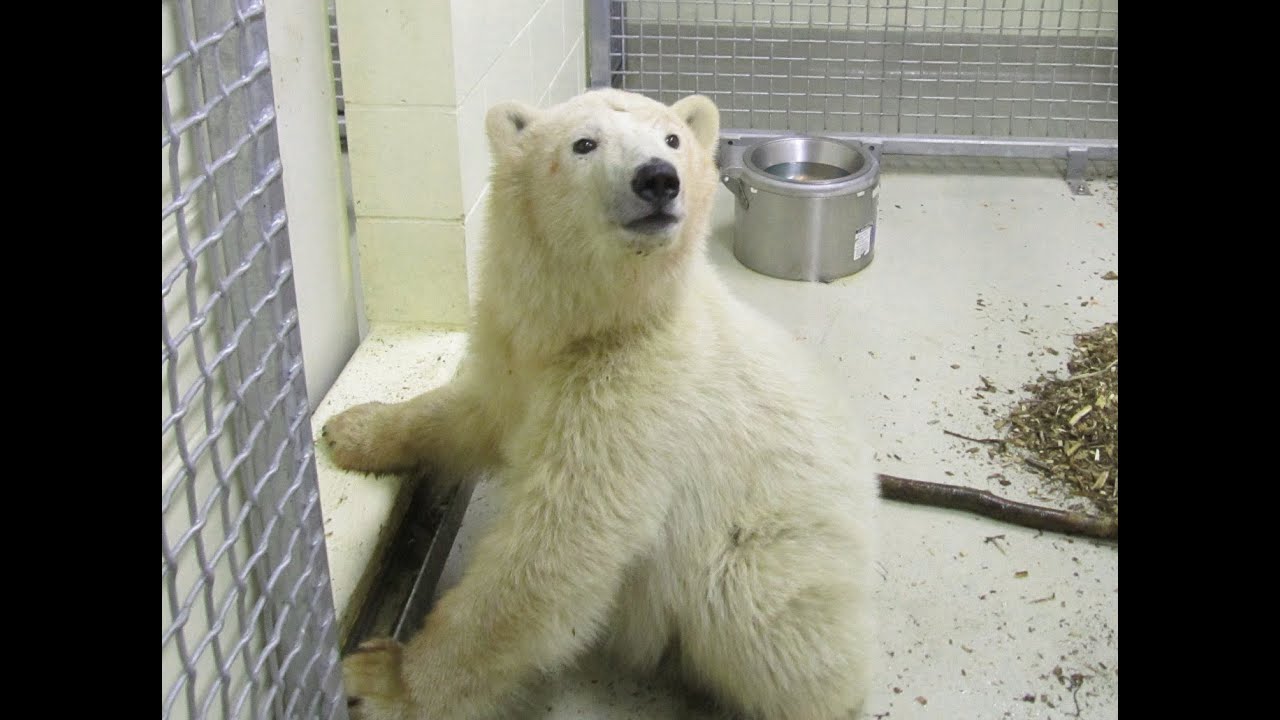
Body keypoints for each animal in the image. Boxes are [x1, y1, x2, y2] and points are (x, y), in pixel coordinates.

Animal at [325, 88, 879, 720]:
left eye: (672, 139)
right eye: (583, 143)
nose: (658, 179)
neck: (601, 322)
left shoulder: (636, 393)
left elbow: (561, 543)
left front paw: (383, 677)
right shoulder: (515, 355)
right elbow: (472, 412)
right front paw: (353, 429)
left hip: (775, 550)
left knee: (760, 619)